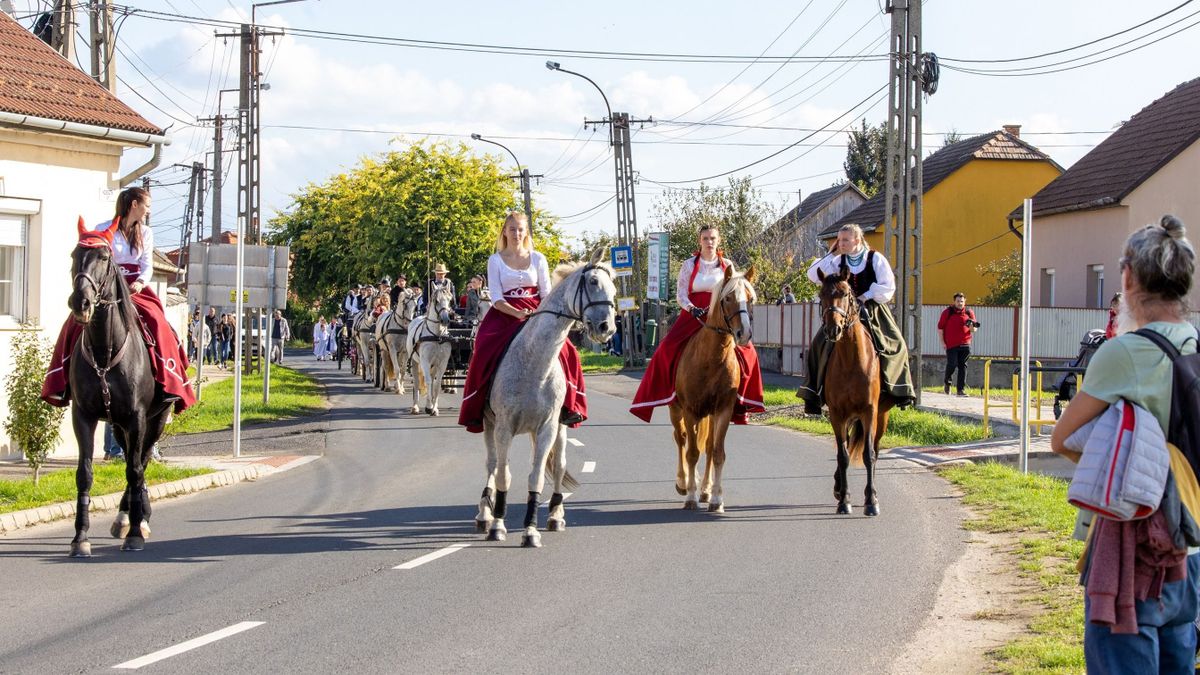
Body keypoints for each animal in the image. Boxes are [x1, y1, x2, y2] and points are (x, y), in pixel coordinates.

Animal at [66, 230, 169, 552]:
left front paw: (135, 532)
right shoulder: (83, 416)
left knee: (141, 461)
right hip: (118, 425)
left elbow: (135, 470)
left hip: (155, 420)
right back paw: (126, 516)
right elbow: (84, 473)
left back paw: (136, 518)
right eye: (74, 255)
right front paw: (80, 538)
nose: (81, 302)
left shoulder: (137, 417)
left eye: (103, 257)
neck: (104, 350)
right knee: (133, 460)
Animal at [408, 284, 453, 413]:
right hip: (414, 362)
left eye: (450, 300)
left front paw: (434, 408)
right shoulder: (425, 361)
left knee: (433, 380)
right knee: (417, 382)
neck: (437, 336)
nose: (445, 320)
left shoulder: (442, 363)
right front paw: (428, 407)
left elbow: (437, 384)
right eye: (436, 301)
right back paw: (415, 406)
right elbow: (427, 381)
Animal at [472, 249, 619, 550]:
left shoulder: (547, 427)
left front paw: (530, 530)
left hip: (561, 427)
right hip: (489, 425)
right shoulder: (503, 428)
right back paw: (484, 514)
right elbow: (503, 473)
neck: (534, 362)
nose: (607, 328)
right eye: (593, 281)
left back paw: (555, 516)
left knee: (560, 466)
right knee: (491, 465)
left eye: (614, 288)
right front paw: (498, 526)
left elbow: (537, 476)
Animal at [672, 263, 753, 509]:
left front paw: (716, 497)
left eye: (750, 298)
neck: (711, 358)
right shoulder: (690, 411)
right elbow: (691, 453)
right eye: (727, 298)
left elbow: (717, 452)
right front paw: (690, 495)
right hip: (676, 409)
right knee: (680, 439)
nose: (744, 334)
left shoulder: (723, 410)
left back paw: (705, 490)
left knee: (706, 446)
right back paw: (682, 482)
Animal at [816, 265, 892, 511]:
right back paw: (839, 488)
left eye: (845, 293)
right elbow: (843, 455)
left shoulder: (870, 411)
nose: (833, 329)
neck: (851, 361)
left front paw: (871, 501)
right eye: (821, 295)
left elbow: (869, 454)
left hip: (881, 417)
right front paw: (844, 499)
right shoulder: (837, 413)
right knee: (847, 447)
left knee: (875, 449)